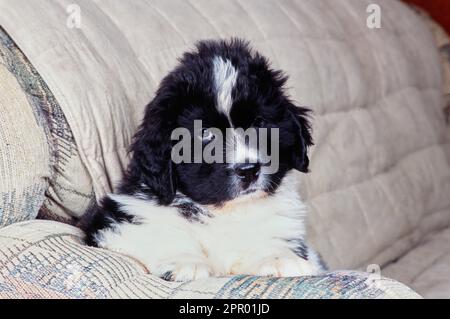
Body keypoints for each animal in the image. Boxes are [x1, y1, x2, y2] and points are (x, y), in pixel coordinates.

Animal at [79, 40, 326, 282]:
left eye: (259, 122)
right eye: (206, 134)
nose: (248, 170)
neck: (223, 211)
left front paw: (280, 258)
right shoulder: (117, 221)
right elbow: (155, 232)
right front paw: (185, 261)